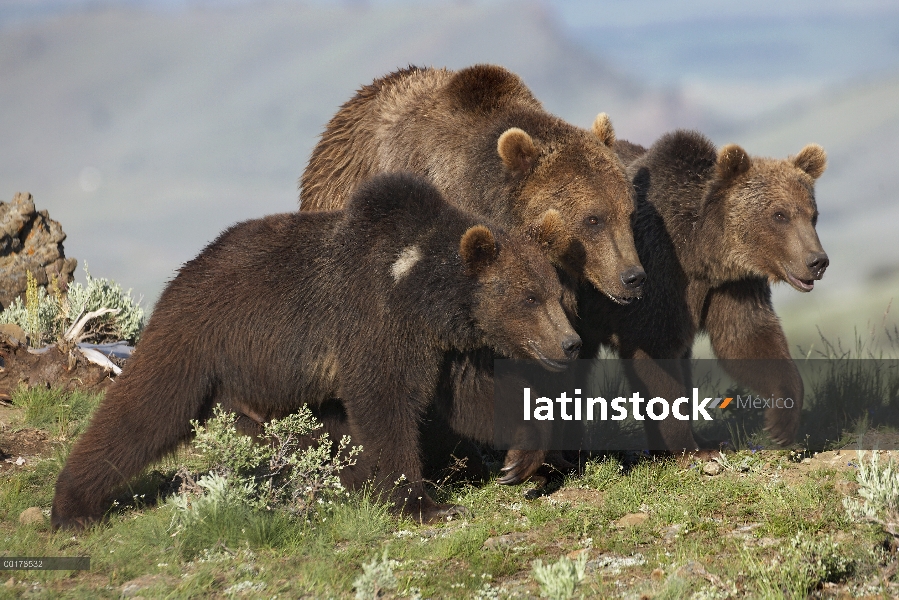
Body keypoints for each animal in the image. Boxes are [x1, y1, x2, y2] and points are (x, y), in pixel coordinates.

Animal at [52, 171, 580, 528]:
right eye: (528, 297)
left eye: (557, 292)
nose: (570, 343)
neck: (423, 293)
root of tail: (184, 271)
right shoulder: (375, 323)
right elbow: (385, 404)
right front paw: (426, 503)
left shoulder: (445, 348)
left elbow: (471, 400)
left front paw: (520, 460)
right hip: (202, 339)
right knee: (147, 408)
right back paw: (72, 506)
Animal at [576, 130, 828, 450]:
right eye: (780, 215)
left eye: (813, 214)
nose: (817, 261)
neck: (701, 252)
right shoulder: (654, 275)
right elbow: (656, 356)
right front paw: (686, 447)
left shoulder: (731, 286)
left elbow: (746, 339)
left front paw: (781, 421)